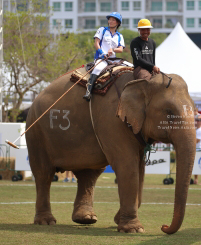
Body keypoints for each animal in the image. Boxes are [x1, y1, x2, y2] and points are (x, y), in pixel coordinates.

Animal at [25, 70, 196, 234]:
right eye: (169, 112)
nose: (164, 226)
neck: (142, 81)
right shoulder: (112, 121)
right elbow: (127, 166)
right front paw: (133, 229)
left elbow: (139, 170)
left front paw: (118, 220)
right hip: (35, 132)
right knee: (43, 174)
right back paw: (46, 221)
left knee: (89, 175)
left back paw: (86, 219)